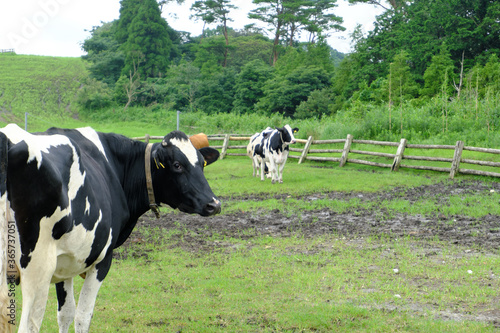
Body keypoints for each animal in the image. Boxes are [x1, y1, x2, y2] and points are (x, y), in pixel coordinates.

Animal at [0, 124, 221, 332]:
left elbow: (66, 313)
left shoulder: (65, 261)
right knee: (29, 325)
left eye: (202, 163)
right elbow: (83, 317)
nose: (214, 204)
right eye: (177, 165)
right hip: (38, 268)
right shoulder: (102, 259)